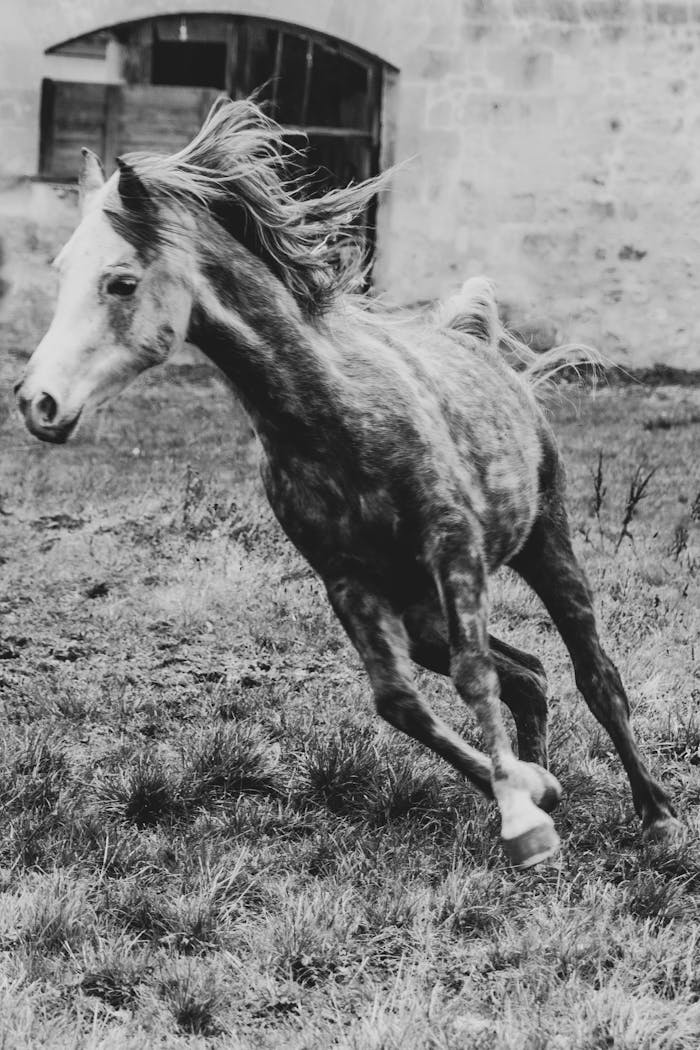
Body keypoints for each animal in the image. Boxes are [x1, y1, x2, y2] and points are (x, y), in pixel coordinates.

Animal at [14, 99, 681, 869]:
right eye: (61, 269)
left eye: (121, 281)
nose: (38, 402)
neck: (331, 417)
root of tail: (481, 347)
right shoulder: (348, 582)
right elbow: (399, 702)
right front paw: (527, 795)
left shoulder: (455, 549)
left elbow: (473, 675)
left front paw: (526, 823)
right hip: (421, 615)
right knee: (529, 675)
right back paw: (543, 778)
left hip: (546, 545)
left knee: (592, 673)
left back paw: (657, 818)